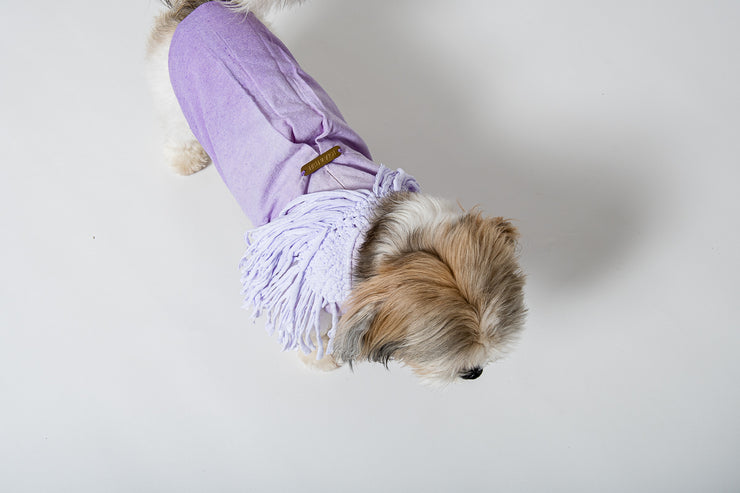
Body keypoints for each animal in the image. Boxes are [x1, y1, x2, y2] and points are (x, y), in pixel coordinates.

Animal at [147, 0, 526, 384]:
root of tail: (200, 9)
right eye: (441, 349)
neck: (375, 227)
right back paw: (186, 159)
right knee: (177, 131)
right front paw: (322, 359)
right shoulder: (302, 288)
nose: (475, 372)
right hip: (173, 97)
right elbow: (310, 329)